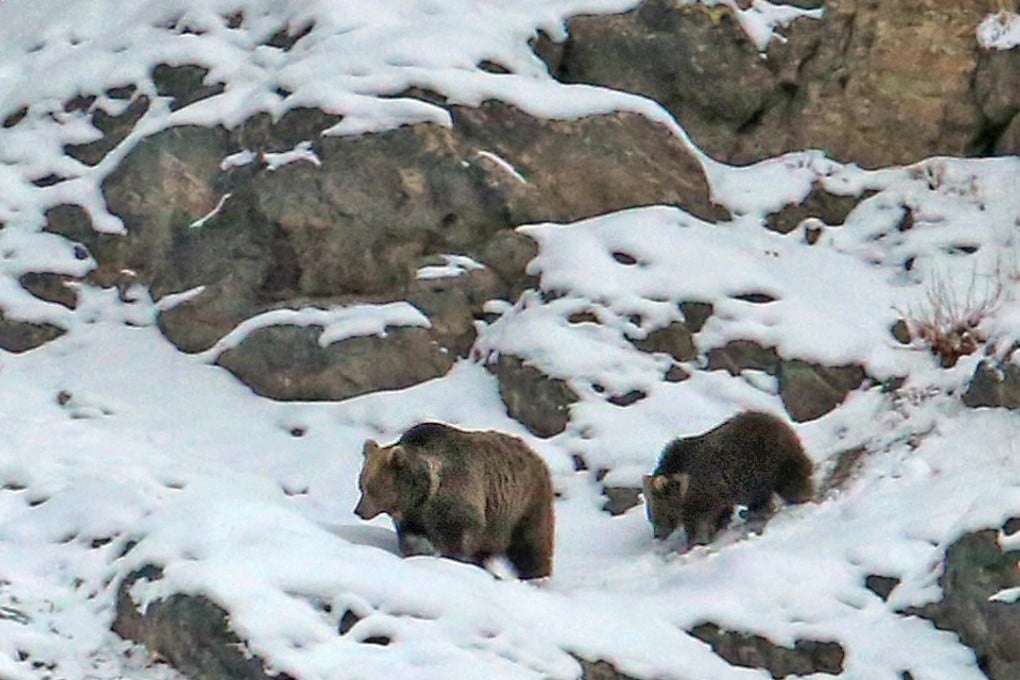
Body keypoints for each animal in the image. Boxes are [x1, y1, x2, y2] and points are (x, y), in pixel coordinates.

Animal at [354, 421, 555, 579]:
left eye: (372, 488)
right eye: (361, 484)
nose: (359, 511)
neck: (421, 494)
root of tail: (535, 455)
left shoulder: (455, 501)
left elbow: (456, 539)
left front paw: (450, 560)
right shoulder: (413, 516)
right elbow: (412, 539)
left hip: (524, 505)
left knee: (531, 546)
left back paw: (536, 577)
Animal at [643, 410, 814, 545]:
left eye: (663, 512)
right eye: (650, 512)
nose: (658, 534)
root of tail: (778, 419)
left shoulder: (705, 491)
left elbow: (701, 521)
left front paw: (697, 540)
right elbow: (721, 513)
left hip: (770, 462)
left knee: (791, 483)